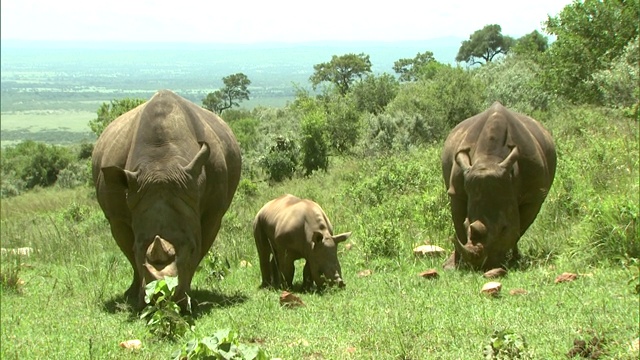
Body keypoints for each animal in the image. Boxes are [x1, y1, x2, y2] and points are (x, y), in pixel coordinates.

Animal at [90, 89, 240, 306]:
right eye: (137, 249)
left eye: (192, 248)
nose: (161, 297)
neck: (161, 164)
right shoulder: (116, 217)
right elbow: (130, 255)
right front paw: (135, 296)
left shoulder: (213, 213)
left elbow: (200, 249)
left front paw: (187, 298)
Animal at [440, 102, 556, 270]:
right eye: (467, 224)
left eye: (503, 228)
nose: (482, 266)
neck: (489, 160)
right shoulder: (457, 192)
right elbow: (458, 227)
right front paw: (454, 266)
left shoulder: (534, 196)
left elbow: (520, 227)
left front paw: (511, 261)